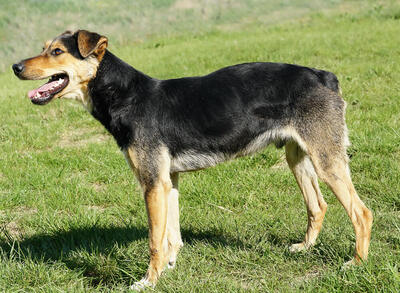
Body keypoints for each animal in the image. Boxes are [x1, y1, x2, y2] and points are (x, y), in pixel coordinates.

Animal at [12, 28, 374, 288]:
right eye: (45, 48)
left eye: (57, 52)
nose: (15, 67)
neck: (125, 96)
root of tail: (323, 75)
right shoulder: (168, 181)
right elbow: (172, 236)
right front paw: (170, 269)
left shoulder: (152, 183)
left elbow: (155, 241)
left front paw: (148, 281)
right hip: (297, 156)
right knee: (318, 206)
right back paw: (305, 248)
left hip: (326, 159)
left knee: (361, 213)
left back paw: (356, 263)